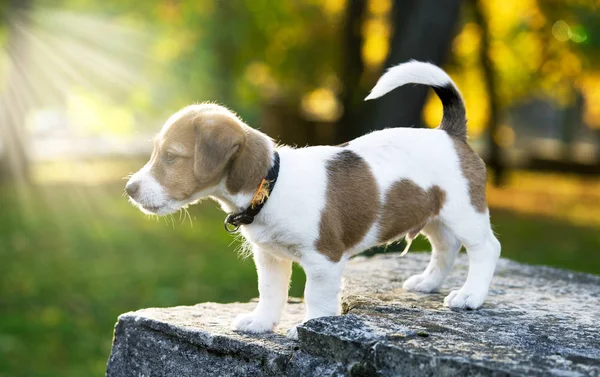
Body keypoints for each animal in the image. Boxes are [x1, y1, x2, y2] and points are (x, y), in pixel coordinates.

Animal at [126, 61, 502, 338]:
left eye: (171, 157)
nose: (129, 188)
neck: (270, 184)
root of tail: (449, 134)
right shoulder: (270, 258)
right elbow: (271, 293)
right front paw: (261, 323)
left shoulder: (324, 260)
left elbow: (315, 299)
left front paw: (308, 327)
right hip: (434, 214)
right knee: (446, 247)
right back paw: (428, 283)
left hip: (464, 212)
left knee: (485, 248)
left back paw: (470, 295)